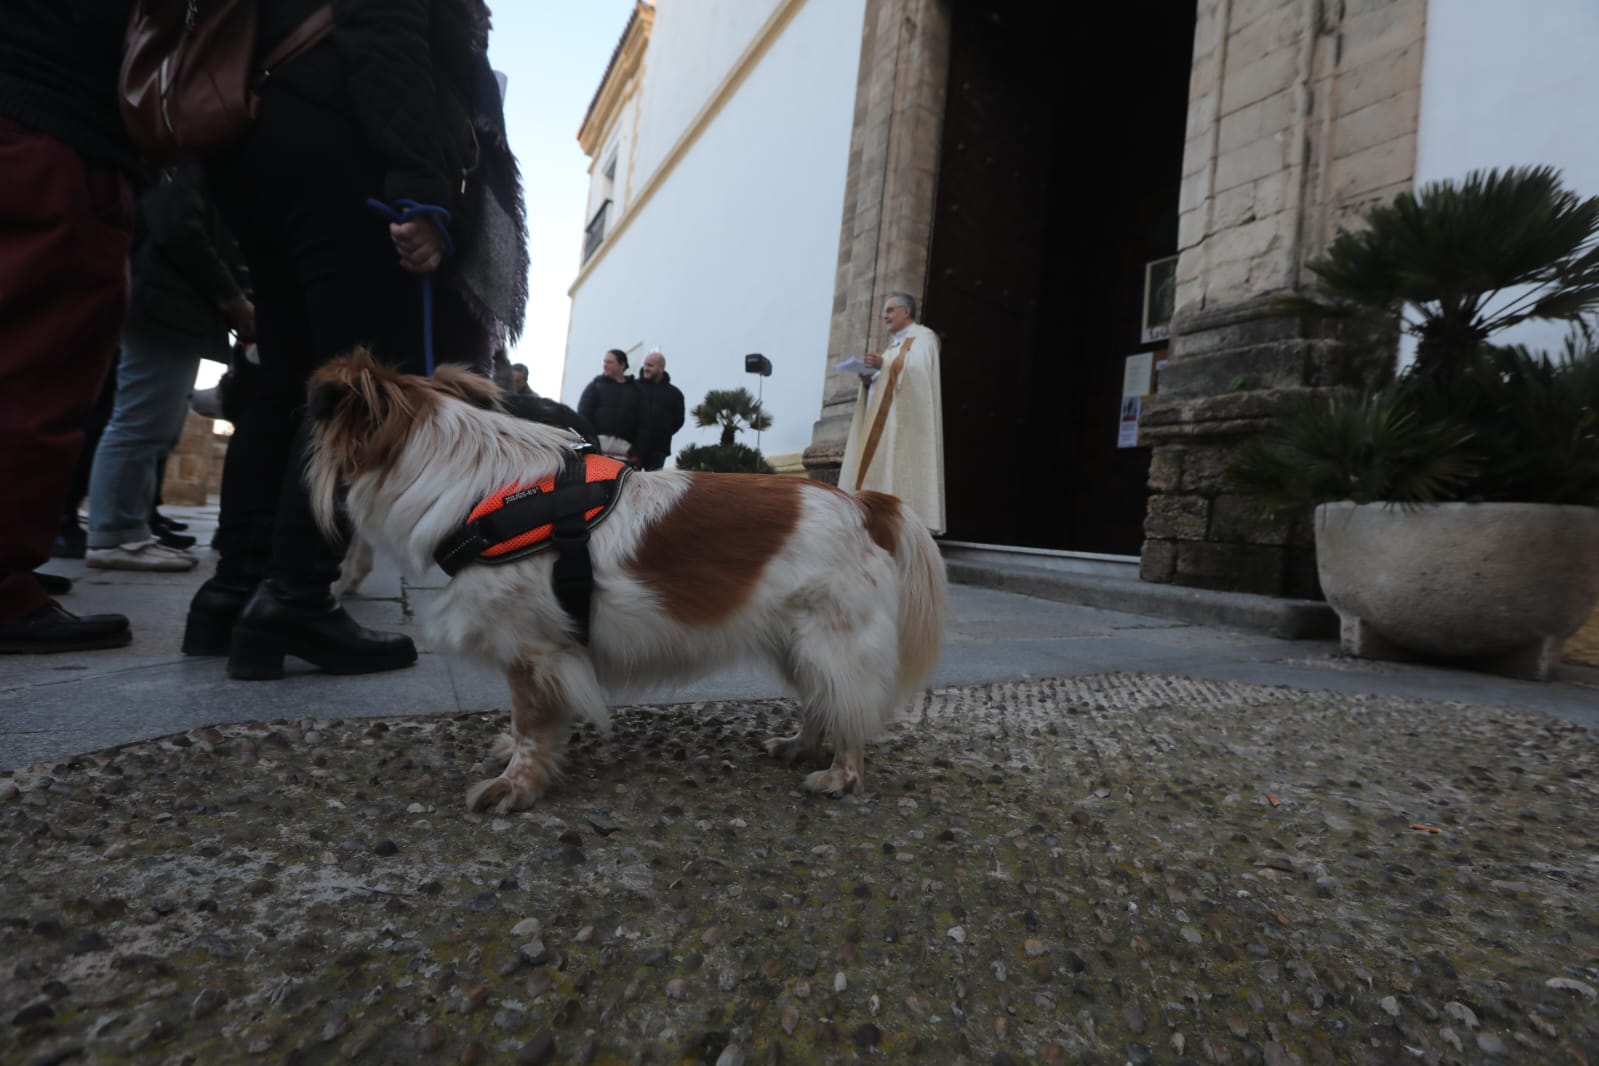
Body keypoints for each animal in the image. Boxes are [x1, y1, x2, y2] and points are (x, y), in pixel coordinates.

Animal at [305, 354, 940, 811]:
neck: (484, 487)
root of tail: (864, 501)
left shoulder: (535, 649)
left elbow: (531, 724)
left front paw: (518, 785)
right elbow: (524, 722)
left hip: (828, 638)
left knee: (845, 705)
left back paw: (840, 774)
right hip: (795, 641)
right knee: (820, 700)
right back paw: (801, 748)